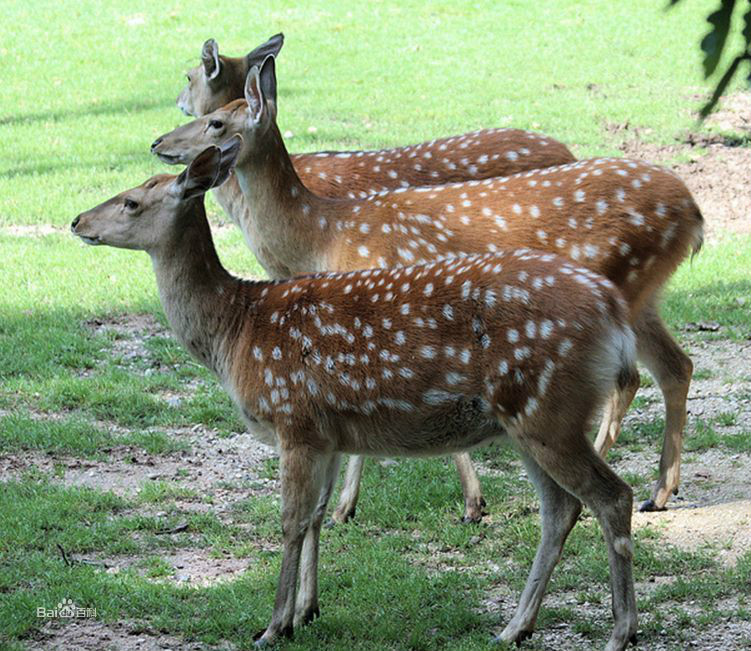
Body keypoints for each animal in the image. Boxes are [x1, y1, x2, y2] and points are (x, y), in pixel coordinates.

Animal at [72, 140, 640, 648]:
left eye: (131, 201)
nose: (78, 221)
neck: (235, 331)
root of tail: (613, 312)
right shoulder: (325, 434)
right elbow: (317, 516)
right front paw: (307, 611)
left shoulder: (293, 417)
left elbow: (290, 520)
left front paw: (272, 627)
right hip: (523, 420)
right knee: (560, 508)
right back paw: (514, 628)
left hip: (548, 408)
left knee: (611, 496)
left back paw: (620, 632)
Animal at [156, 58, 708, 524]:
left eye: (216, 123)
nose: (159, 143)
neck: (324, 234)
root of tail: (695, 212)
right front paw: (358, 507)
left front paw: (454, 505)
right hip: (642, 295)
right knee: (675, 365)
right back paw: (661, 491)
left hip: (624, 283)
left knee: (630, 379)